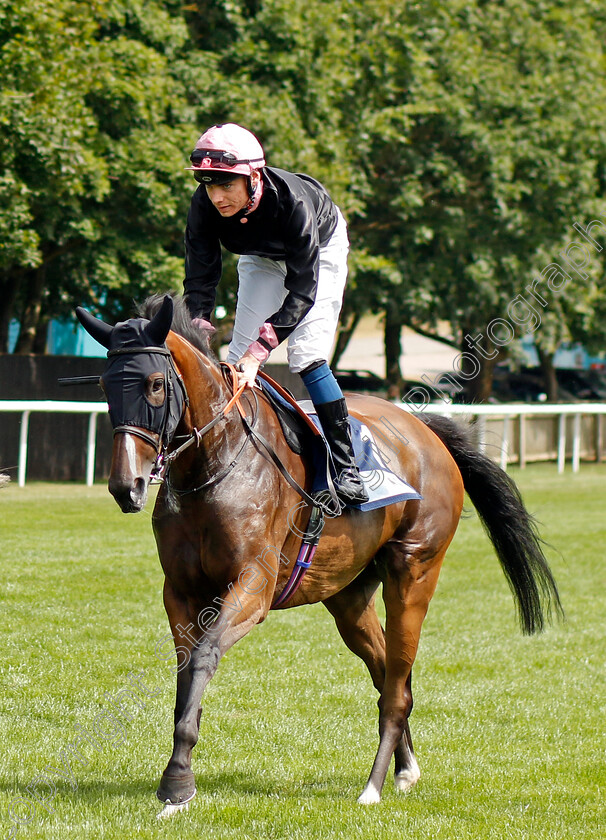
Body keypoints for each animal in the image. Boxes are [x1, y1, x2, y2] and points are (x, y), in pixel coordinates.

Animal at [76, 294, 564, 812]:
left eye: (153, 384)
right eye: (105, 384)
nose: (126, 485)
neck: (213, 464)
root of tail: (424, 430)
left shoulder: (253, 587)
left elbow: (206, 656)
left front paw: (177, 782)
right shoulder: (181, 591)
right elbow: (187, 670)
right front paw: (178, 775)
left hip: (413, 572)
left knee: (397, 687)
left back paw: (373, 786)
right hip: (348, 595)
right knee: (388, 673)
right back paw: (406, 769)